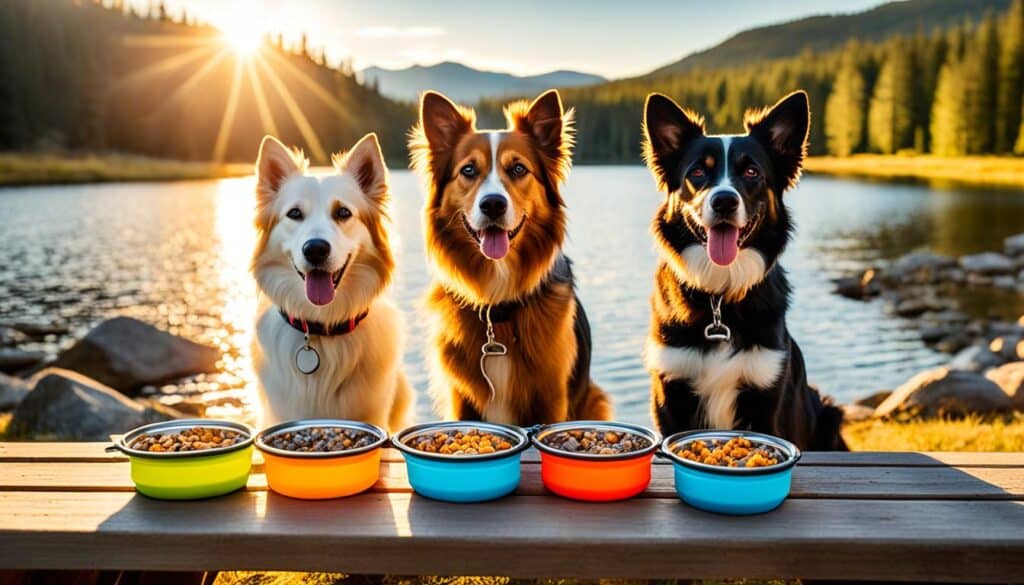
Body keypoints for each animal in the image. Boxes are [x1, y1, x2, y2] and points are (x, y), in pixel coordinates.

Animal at [409, 88, 614, 426]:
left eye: (518, 169)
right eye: (468, 170)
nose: (493, 204)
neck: (498, 307)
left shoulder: (551, 397)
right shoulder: (461, 399)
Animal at [638, 89, 847, 450]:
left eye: (751, 172)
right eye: (697, 173)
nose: (724, 201)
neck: (720, 295)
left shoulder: (768, 393)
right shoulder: (670, 392)